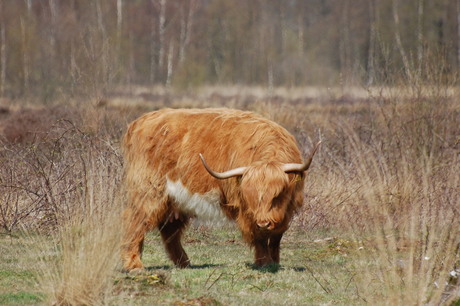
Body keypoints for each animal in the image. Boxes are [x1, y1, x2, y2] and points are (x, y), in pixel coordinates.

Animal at [121, 108, 320, 270]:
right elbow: (260, 238)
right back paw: (134, 264)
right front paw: (263, 263)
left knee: (170, 231)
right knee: (135, 223)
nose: (263, 222)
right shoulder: (247, 212)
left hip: (176, 201)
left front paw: (275, 263)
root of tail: (140, 121)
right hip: (148, 192)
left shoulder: (286, 211)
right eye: (249, 196)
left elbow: (276, 238)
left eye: (278, 194)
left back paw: (184, 263)